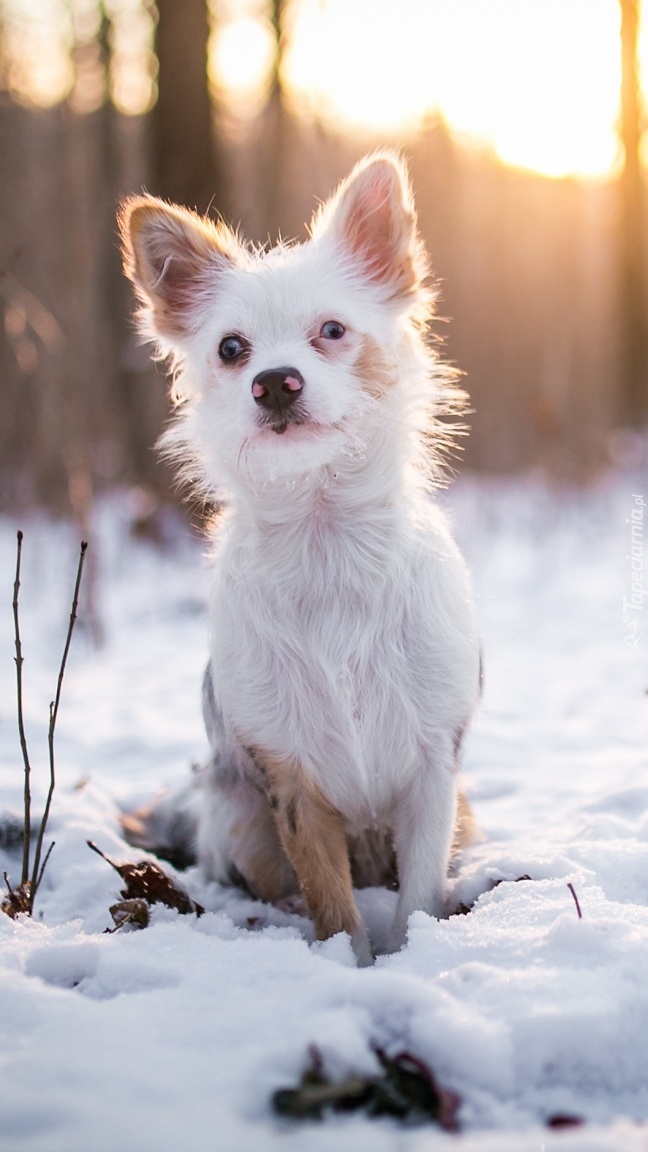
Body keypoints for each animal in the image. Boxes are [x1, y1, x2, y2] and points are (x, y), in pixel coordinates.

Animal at [118, 153, 477, 963]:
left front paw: (414, 954)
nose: (275, 382)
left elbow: (417, 895)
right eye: (231, 349)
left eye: (332, 331)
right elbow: (331, 902)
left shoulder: (432, 774)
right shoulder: (291, 785)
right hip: (241, 819)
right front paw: (349, 963)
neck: (325, 533)